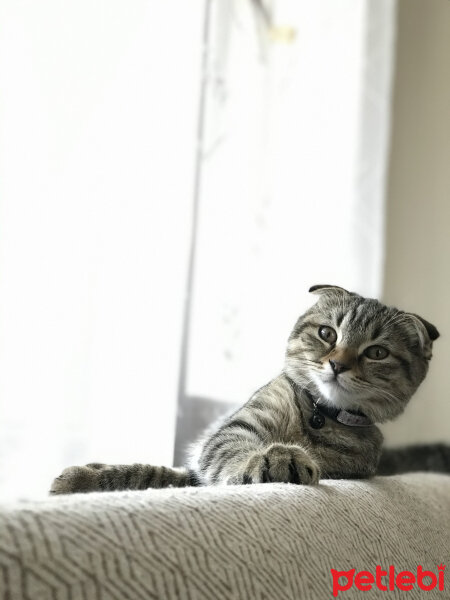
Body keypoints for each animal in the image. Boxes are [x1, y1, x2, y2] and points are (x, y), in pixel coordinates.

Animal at [49, 286, 442, 496]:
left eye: (376, 353)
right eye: (327, 333)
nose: (337, 364)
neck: (317, 418)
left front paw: (281, 459)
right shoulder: (233, 432)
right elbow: (157, 472)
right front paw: (85, 477)